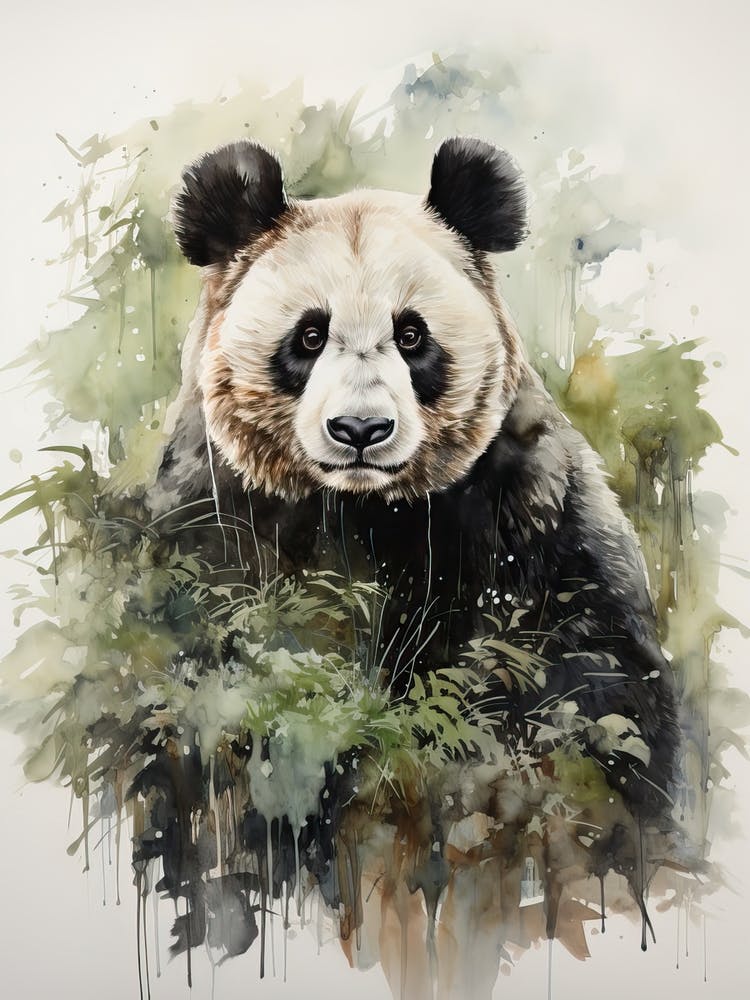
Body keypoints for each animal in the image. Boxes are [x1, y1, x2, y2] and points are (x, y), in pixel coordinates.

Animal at [152, 136, 679, 820]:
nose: (360, 429)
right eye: (310, 335)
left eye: (411, 335)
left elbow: (597, 672)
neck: (363, 502)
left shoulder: (522, 511)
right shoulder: (217, 505)